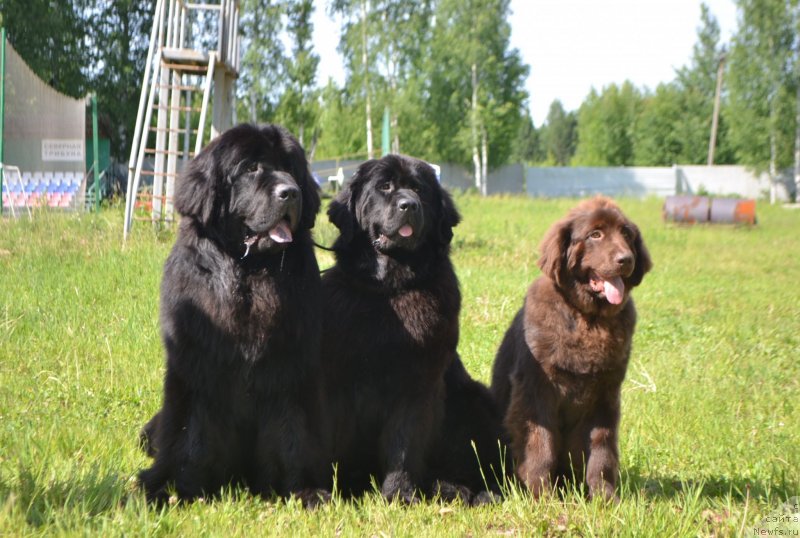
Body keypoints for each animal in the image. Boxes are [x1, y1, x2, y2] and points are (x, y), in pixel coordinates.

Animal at [138, 123, 328, 504]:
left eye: (290, 168)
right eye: (251, 168)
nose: (291, 192)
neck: (250, 274)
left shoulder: (290, 366)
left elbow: (293, 430)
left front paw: (302, 487)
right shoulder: (197, 365)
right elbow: (190, 432)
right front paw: (173, 487)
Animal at [318, 154, 506, 502]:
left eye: (419, 190)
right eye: (384, 187)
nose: (409, 205)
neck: (389, 289)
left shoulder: (418, 382)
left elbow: (403, 444)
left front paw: (400, 494)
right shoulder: (338, 382)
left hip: (475, 400)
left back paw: (473, 491)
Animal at [490, 196, 652, 498]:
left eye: (626, 234)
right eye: (595, 234)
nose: (626, 259)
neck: (587, 319)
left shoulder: (605, 394)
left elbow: (602, 450)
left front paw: (604, 496)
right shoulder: (535, 390)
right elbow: (540, 445)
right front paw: (539, 494)